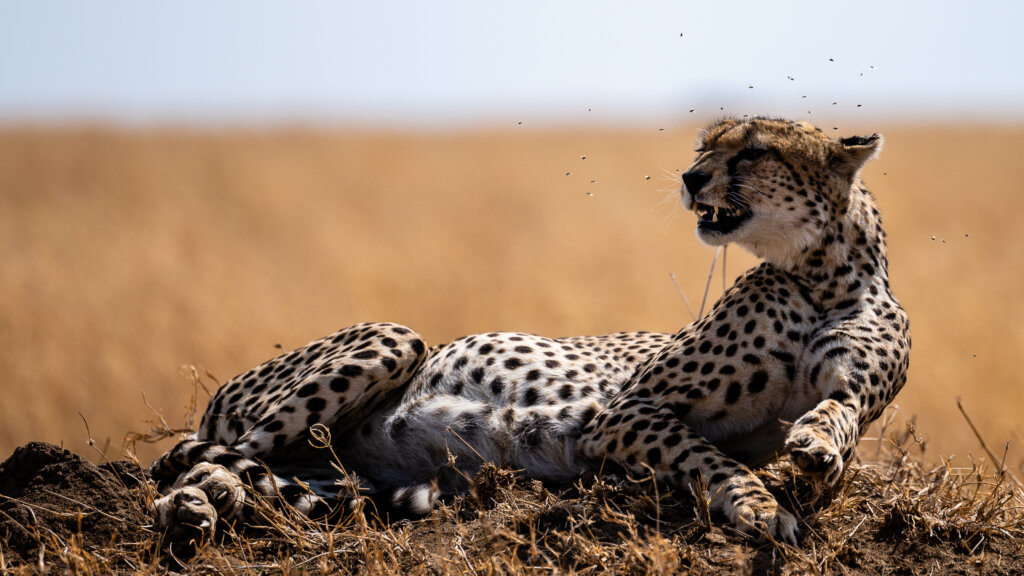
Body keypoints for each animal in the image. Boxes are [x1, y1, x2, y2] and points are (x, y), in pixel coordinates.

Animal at [149, 114, 905, 549]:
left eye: (752, 153)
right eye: (704, 147)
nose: (691, 178)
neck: (817, 272)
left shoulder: (853, 391)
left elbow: (838, 413)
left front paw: (815, 447)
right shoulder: (622, 412)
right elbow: (707, 454)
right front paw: (755, 505)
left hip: (335, 464)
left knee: (252, 469)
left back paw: (215, 505)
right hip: (391, 337)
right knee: (205, 458)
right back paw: (189, 508)